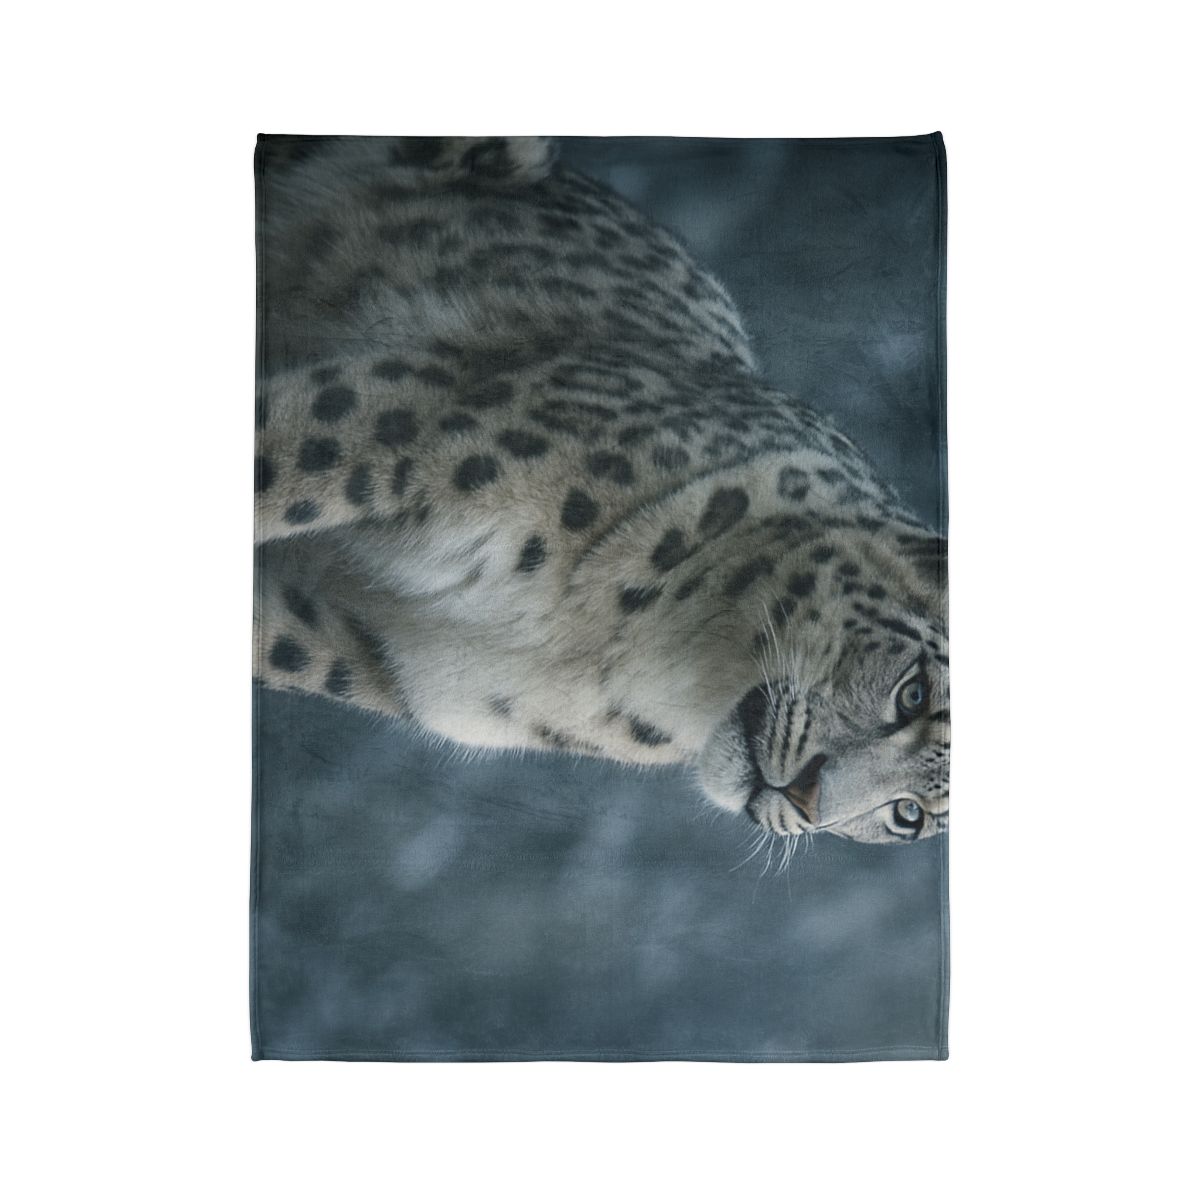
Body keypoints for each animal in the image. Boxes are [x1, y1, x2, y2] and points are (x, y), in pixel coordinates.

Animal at [254, 135, 949, 845]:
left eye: (909, 815)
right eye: (913, 693)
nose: (806, 797)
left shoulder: (368, 650)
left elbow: (272, 636)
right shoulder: (411, 426)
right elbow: (273, 467)